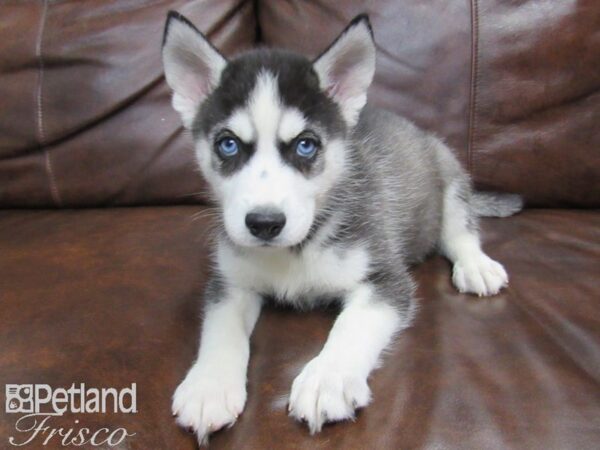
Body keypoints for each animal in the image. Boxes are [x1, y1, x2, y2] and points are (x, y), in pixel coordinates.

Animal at [162, 12, 524, 444]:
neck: (294, 251)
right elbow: (221, 329)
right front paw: (210, 386)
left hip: (447, 168)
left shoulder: (385, 279)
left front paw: (327, 380)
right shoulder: (230, 282)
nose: (265, 223)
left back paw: (475, 264)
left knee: (459, 228)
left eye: (305, 145)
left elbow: (352, 326)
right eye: (228, 144)